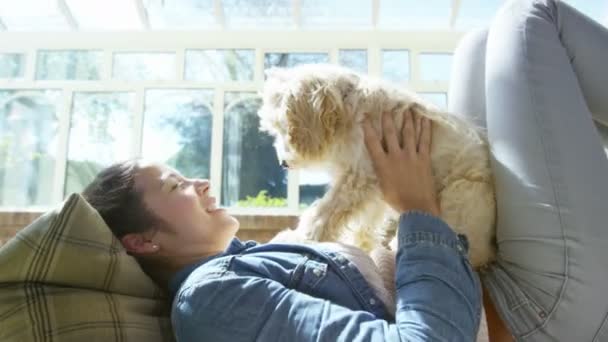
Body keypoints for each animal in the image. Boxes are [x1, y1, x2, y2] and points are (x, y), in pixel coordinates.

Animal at [258, 63, 496, 268]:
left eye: (283, 128)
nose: (283, 163)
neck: (350, 110)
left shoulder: (357, 179)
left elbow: (324, 211)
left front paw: (301, 237)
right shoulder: (375, 184)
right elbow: (367, 220)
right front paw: (362, 245)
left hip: (460, 194)